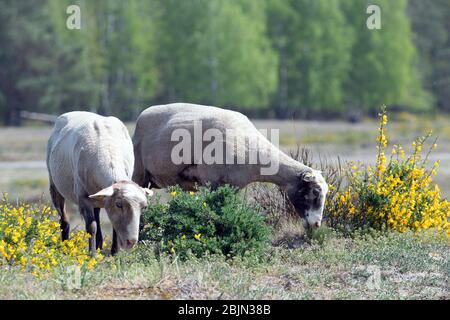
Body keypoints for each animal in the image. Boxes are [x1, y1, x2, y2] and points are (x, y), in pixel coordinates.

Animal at [46, 111, 153, 254]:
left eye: (144, 207)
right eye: (119, 204)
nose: (131, 242)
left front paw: (114, 252)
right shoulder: (83, 198)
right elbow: (91, 227)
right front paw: (91, 254)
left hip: (97, 196)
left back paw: (99, 246)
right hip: (55, 186)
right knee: (64, 221)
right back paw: (66, 248)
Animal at [132, 103, 328, 228]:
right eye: (314, 192)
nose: (317, 224)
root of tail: (141, 116)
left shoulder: (232, 187)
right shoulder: (212, 182)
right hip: (139, 173)